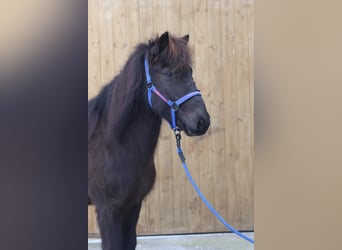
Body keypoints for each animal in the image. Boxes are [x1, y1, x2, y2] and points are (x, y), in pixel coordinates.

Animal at [87, 32, 211, 249]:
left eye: (190, 72)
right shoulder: (108, 210)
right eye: (169, 73)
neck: (112, 144)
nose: (202, 121)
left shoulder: (133, 205)